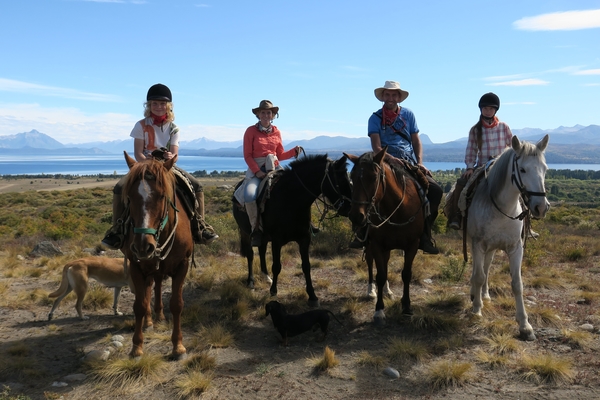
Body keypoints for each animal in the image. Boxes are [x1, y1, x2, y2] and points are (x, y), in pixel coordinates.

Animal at [122, 152, 195, 360]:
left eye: (162, 196)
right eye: (129, 197)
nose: (142, 246)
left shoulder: (183, 265)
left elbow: (177, 304)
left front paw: (178, 346)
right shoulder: (136, 266)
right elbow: (139, 305)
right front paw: (137, 346)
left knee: (157, 285)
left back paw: (159, 315)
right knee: (148, 290)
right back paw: (148, 321)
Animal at [342, 148, 426, 324]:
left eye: (374, 177)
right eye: (351, 177)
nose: (356, 216)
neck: (397, 209)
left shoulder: (412, 245)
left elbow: (406, 274)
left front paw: (406, 306)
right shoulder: (376, 244)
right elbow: (380, 275)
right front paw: (379, 310)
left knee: (386, 264)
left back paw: (388, 291)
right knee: (370, 263)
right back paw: (371, 291)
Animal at [466, 135, 552, 340]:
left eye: (544, 169)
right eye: (522, 169)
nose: (541, 207)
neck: (503, 209)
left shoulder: (515, 248)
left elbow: (517, 284)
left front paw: (525, 325)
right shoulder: (478, 244)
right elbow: (478, 276)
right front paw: (477, 310)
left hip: (492, 248)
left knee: (487, 268)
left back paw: (485, 294)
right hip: (477, 245)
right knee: (478, 271)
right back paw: (476, 295)